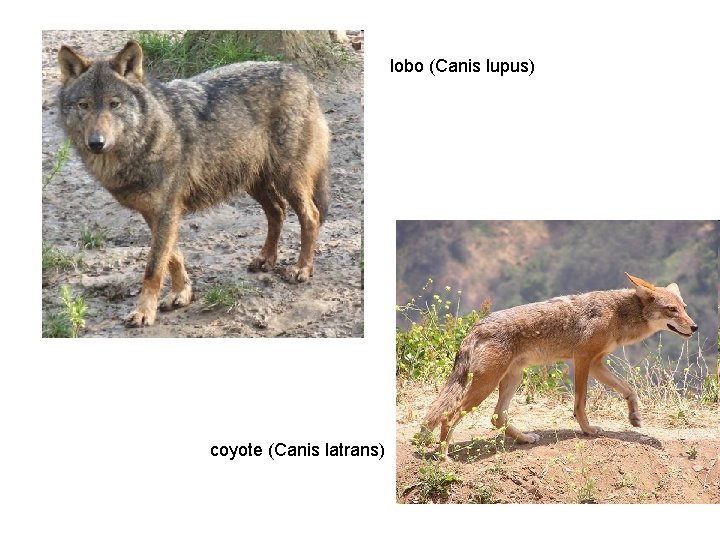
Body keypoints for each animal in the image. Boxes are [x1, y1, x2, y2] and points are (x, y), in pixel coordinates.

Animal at [57, 40, 330, 327]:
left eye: (114, 104)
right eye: (84, 105)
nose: (96, 143)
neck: (151, 137)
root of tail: (298, 73)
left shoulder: (166, 211)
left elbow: (154, 268)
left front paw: (144, 312)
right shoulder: (156, 213)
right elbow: (172, 257)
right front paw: (181, 294)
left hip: (287, 178)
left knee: (310, 215)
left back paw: (302, 268)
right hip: (253, 181)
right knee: (278, 211)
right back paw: (266, 259)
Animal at [421, 273, 697, 459]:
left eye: (684, 308)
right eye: (671, 310)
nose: (695, 327)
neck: (618, 314)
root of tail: (475, 328)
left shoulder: (596, 363)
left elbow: (629, 390)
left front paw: (634, 417)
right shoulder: (583, 359)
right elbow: (580, 402)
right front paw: (587, 430)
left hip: (511, 379)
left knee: (497, 417)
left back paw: (525, 438)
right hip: (485, 386)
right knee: (449, 415)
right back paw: (444, 457)